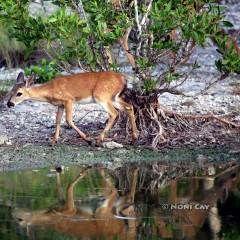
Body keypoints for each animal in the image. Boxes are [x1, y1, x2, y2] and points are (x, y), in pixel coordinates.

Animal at [7, 71, 139, 145]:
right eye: (11, 91)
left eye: (19, 93)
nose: (9, 104)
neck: (50, 90)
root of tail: (123, 79)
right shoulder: (60, 104)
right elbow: (57, 121)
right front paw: (53, 141)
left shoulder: (69, 100)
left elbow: (69, 120)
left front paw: (88, 139)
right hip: (114, 97)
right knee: (129, 107)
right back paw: (134, 139)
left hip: (102, 96)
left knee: (114, 113)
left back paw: (98, 140)